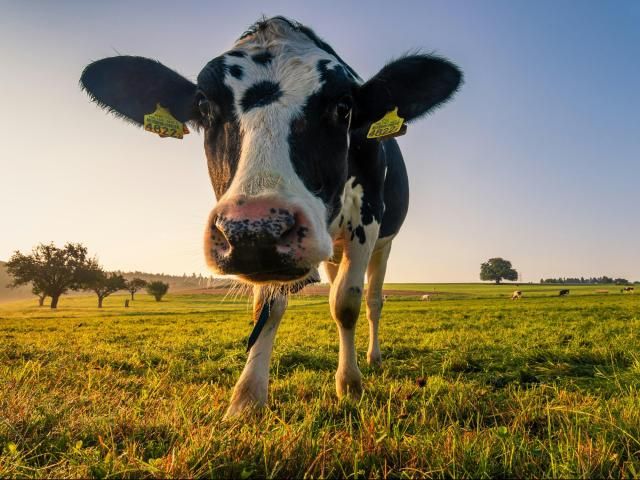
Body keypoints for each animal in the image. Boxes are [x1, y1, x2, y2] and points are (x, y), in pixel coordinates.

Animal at [80, 16, 462, 417]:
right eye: (204, 106)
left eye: (343, 107)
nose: (255, 229)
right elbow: (268, 307)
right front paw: (247, 397)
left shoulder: (367, 221)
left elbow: (346, 303)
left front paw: (349, 385)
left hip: (383, 244)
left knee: (373, 301)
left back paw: (372, 357)